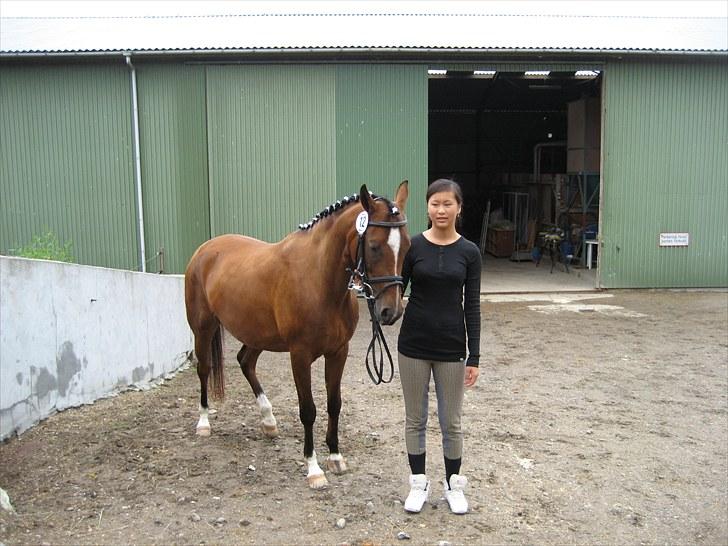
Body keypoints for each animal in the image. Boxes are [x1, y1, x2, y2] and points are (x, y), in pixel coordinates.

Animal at [183, 181, 410, 486]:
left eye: (406, 245)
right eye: (373, 246)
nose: (391, 312)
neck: (319, 280)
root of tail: (205, 249)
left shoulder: (338, 352)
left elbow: (334, 404)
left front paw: (336, 457)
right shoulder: (300, 356)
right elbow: (308, 410)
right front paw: (314, 469)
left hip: (257, 334)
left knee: (246, 362)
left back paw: (268, 421)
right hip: (203, 328)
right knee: (205, 368)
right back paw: (204, 423)